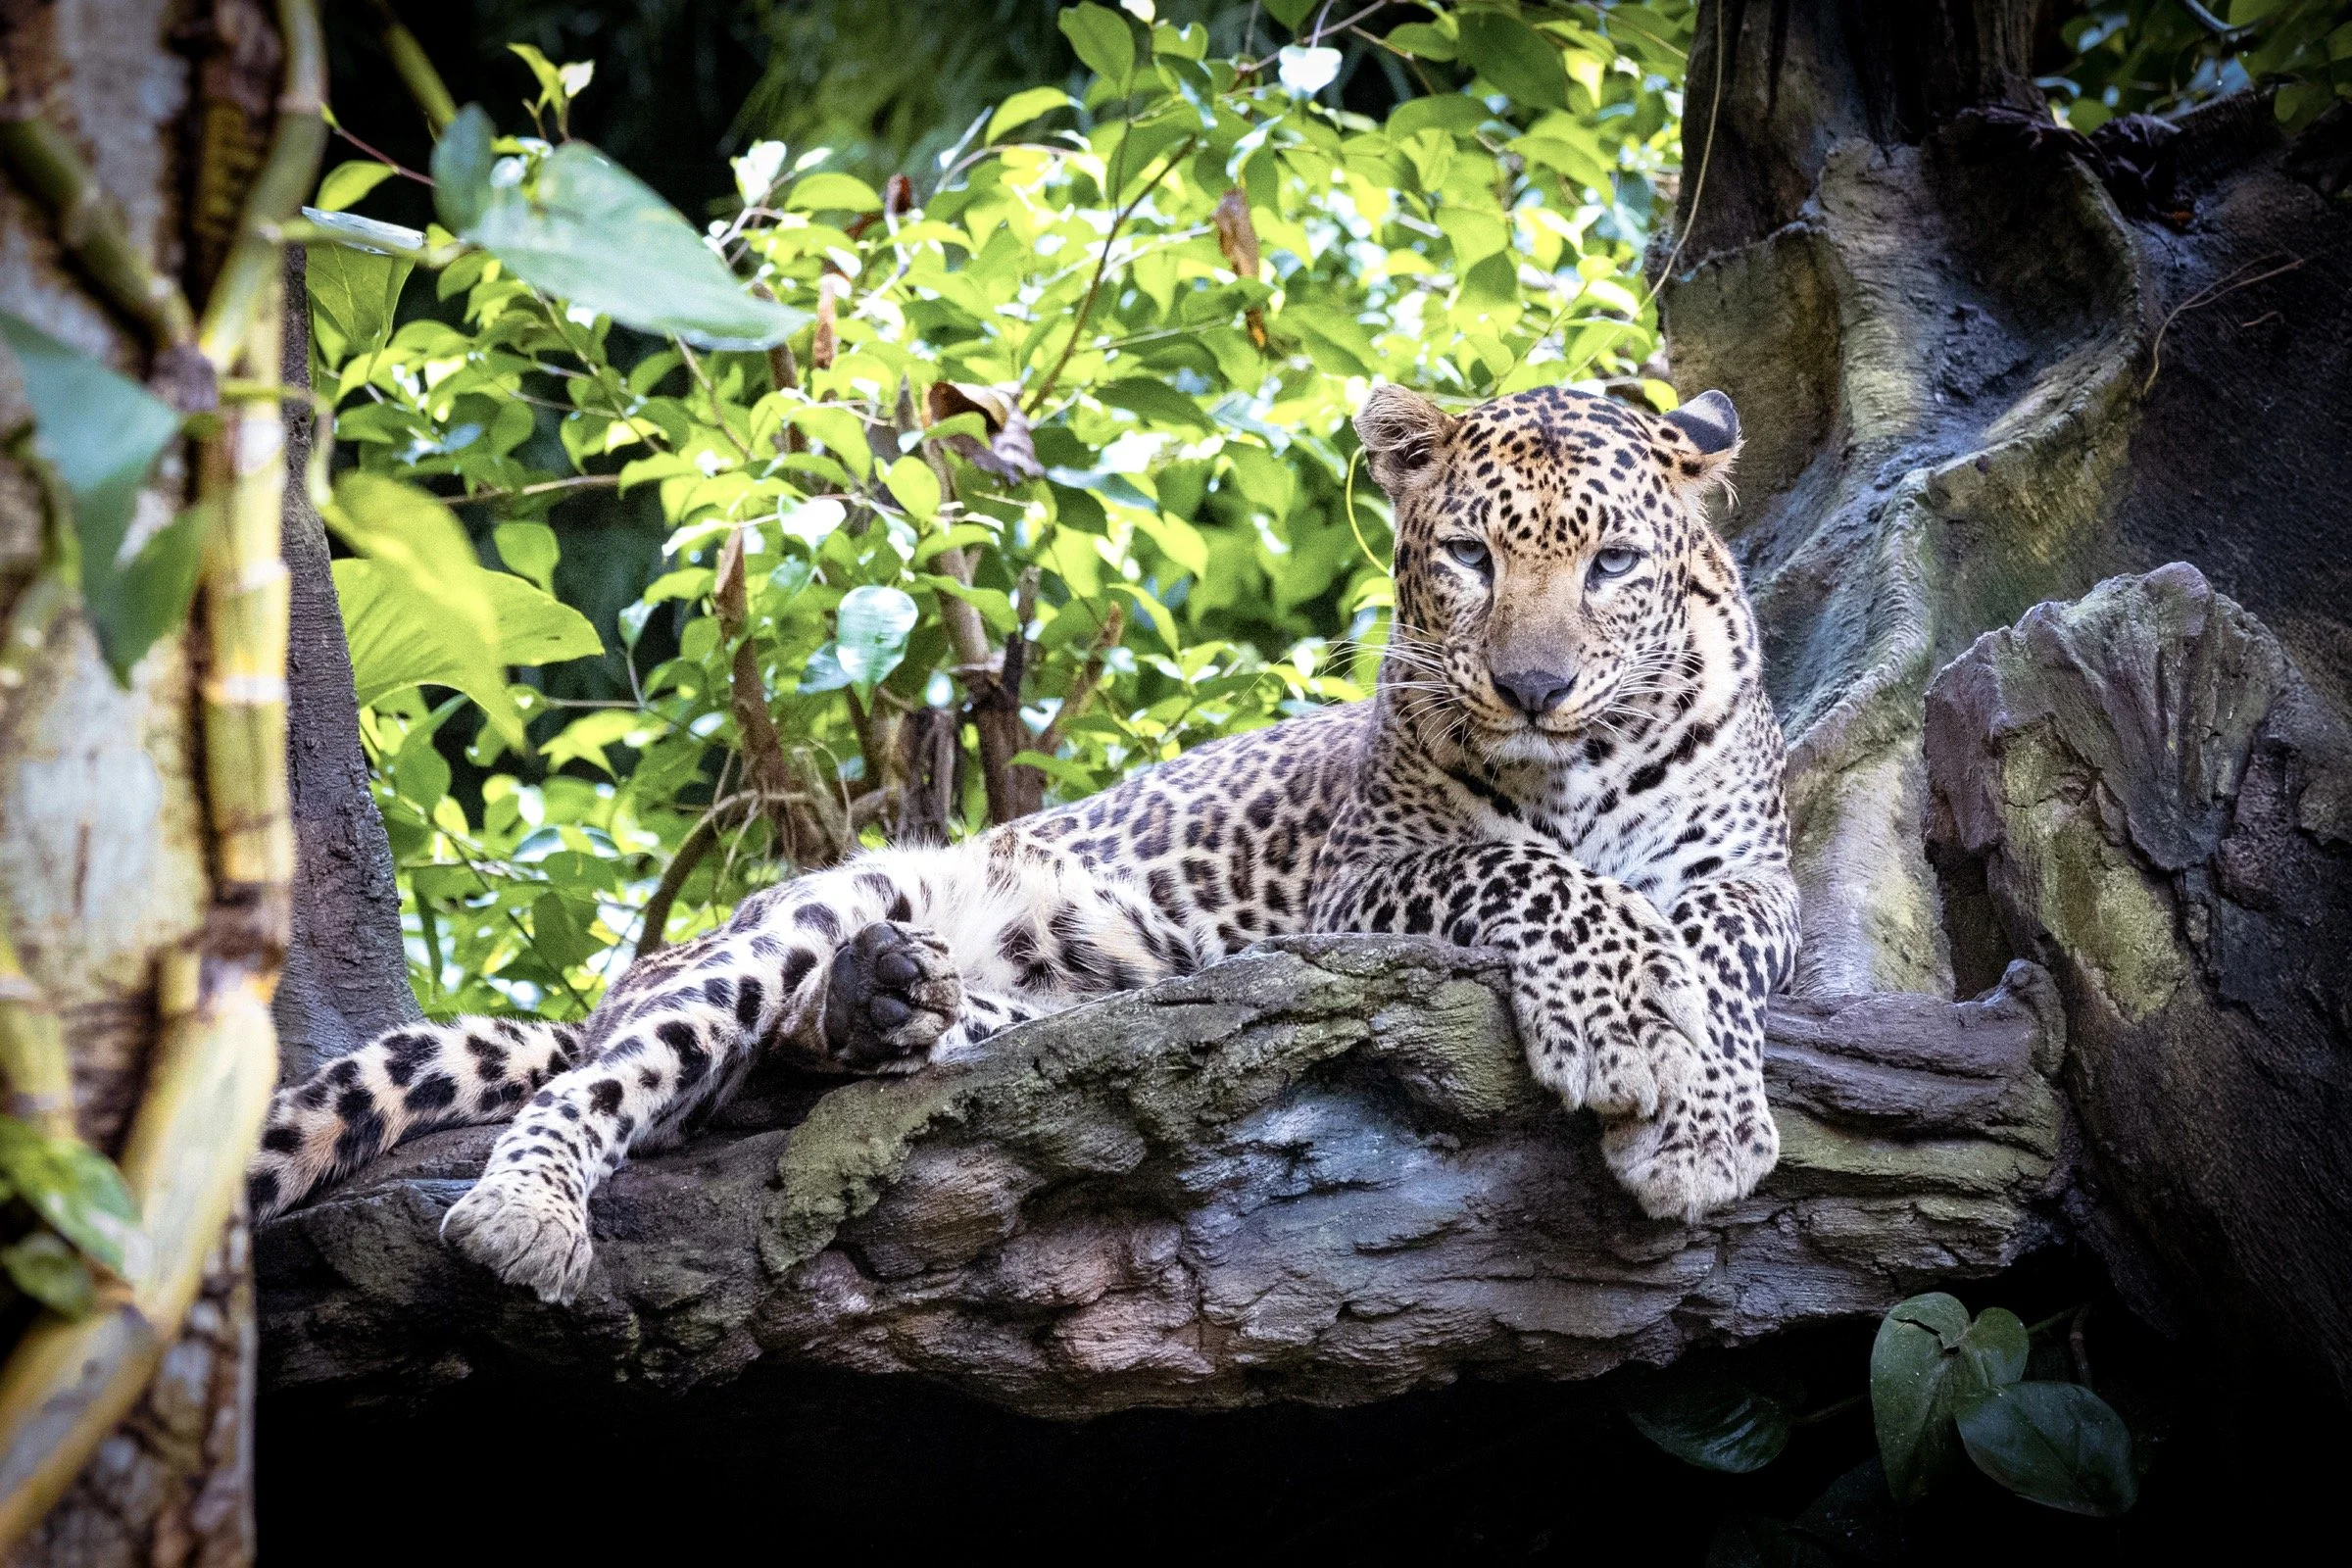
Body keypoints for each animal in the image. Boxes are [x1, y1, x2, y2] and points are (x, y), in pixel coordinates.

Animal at [248, 382, 1798, 1305]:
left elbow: (1710, 944)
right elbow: (1542, 876)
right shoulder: (1369, 877)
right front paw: (1631, 1035)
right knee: (631, 1077)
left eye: (1613, 565)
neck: (1577, 765)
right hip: (800, 908)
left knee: (823, 1057)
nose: (1533, 686)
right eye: (1472, 558)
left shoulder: (1761, 879)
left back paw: (901, 1005)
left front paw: (1705, 1115)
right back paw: (532, 1213)